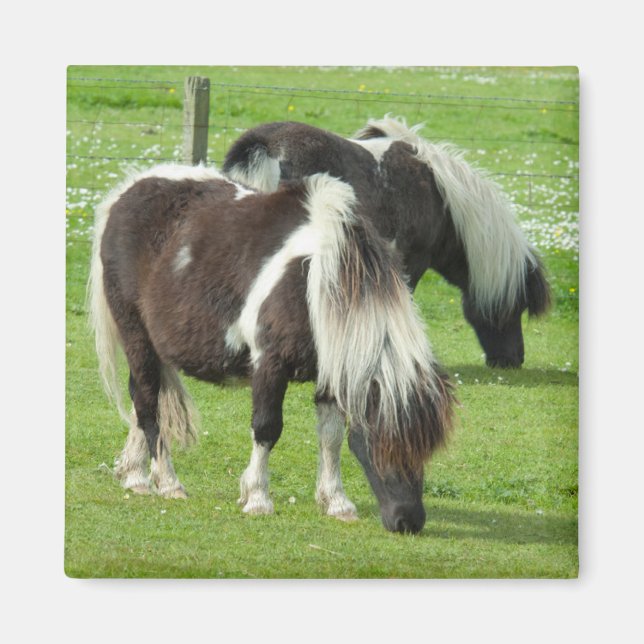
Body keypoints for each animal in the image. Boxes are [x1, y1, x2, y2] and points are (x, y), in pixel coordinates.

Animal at [88, 164, 454, 534]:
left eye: (428, 449)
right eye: (382, 442)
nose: (408, 520)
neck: (315, 280)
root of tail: (127, 193)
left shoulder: (332, 370)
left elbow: (332, 435)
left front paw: (337, 502)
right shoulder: (270, 364)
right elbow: (266, 429)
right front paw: (258, 499)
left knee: (144, 399)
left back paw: (134, 474)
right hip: (136, 334)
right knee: (147, 401)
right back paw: (166, 482)